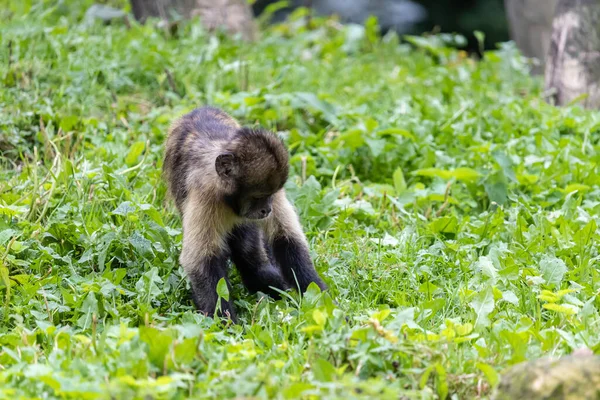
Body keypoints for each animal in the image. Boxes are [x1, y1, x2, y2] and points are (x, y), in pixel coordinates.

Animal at [162, 106, 326, 322]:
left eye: (270, 195)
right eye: (258, 196)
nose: (267, 209)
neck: (229, 200)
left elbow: (287, 239)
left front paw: (323, 303)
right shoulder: (205, 194)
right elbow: (200, 261)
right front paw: (226, 323)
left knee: (251, 258)